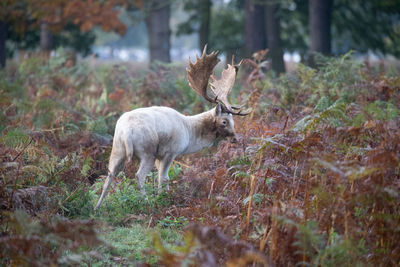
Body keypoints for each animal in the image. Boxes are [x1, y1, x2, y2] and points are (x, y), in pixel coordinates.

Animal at [94, 45, 250, 210]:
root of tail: (126, 131)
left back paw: (97, 207)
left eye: (233, 120)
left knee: (109, 174)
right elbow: (163, 178)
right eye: (224, 121)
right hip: (147, 151)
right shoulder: (170, 151)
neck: (189, 133)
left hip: (117, 149)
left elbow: (164, 178)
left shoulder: (160, 156)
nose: (235, 138)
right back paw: (146, 201)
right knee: (139, 175)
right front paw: (163, 198)